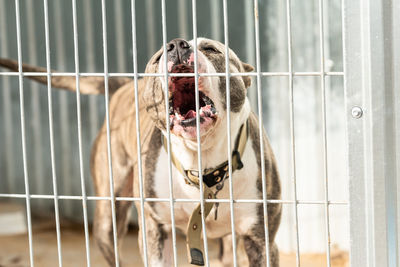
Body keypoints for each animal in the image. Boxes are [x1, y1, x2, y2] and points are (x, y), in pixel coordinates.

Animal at [0, 38, 282, 267]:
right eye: (158, 57)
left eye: (211, 49)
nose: (177, 45)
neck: (200, 159)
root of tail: (126, 85)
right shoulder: (154, 231)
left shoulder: (261, 240)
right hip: (109, 214)